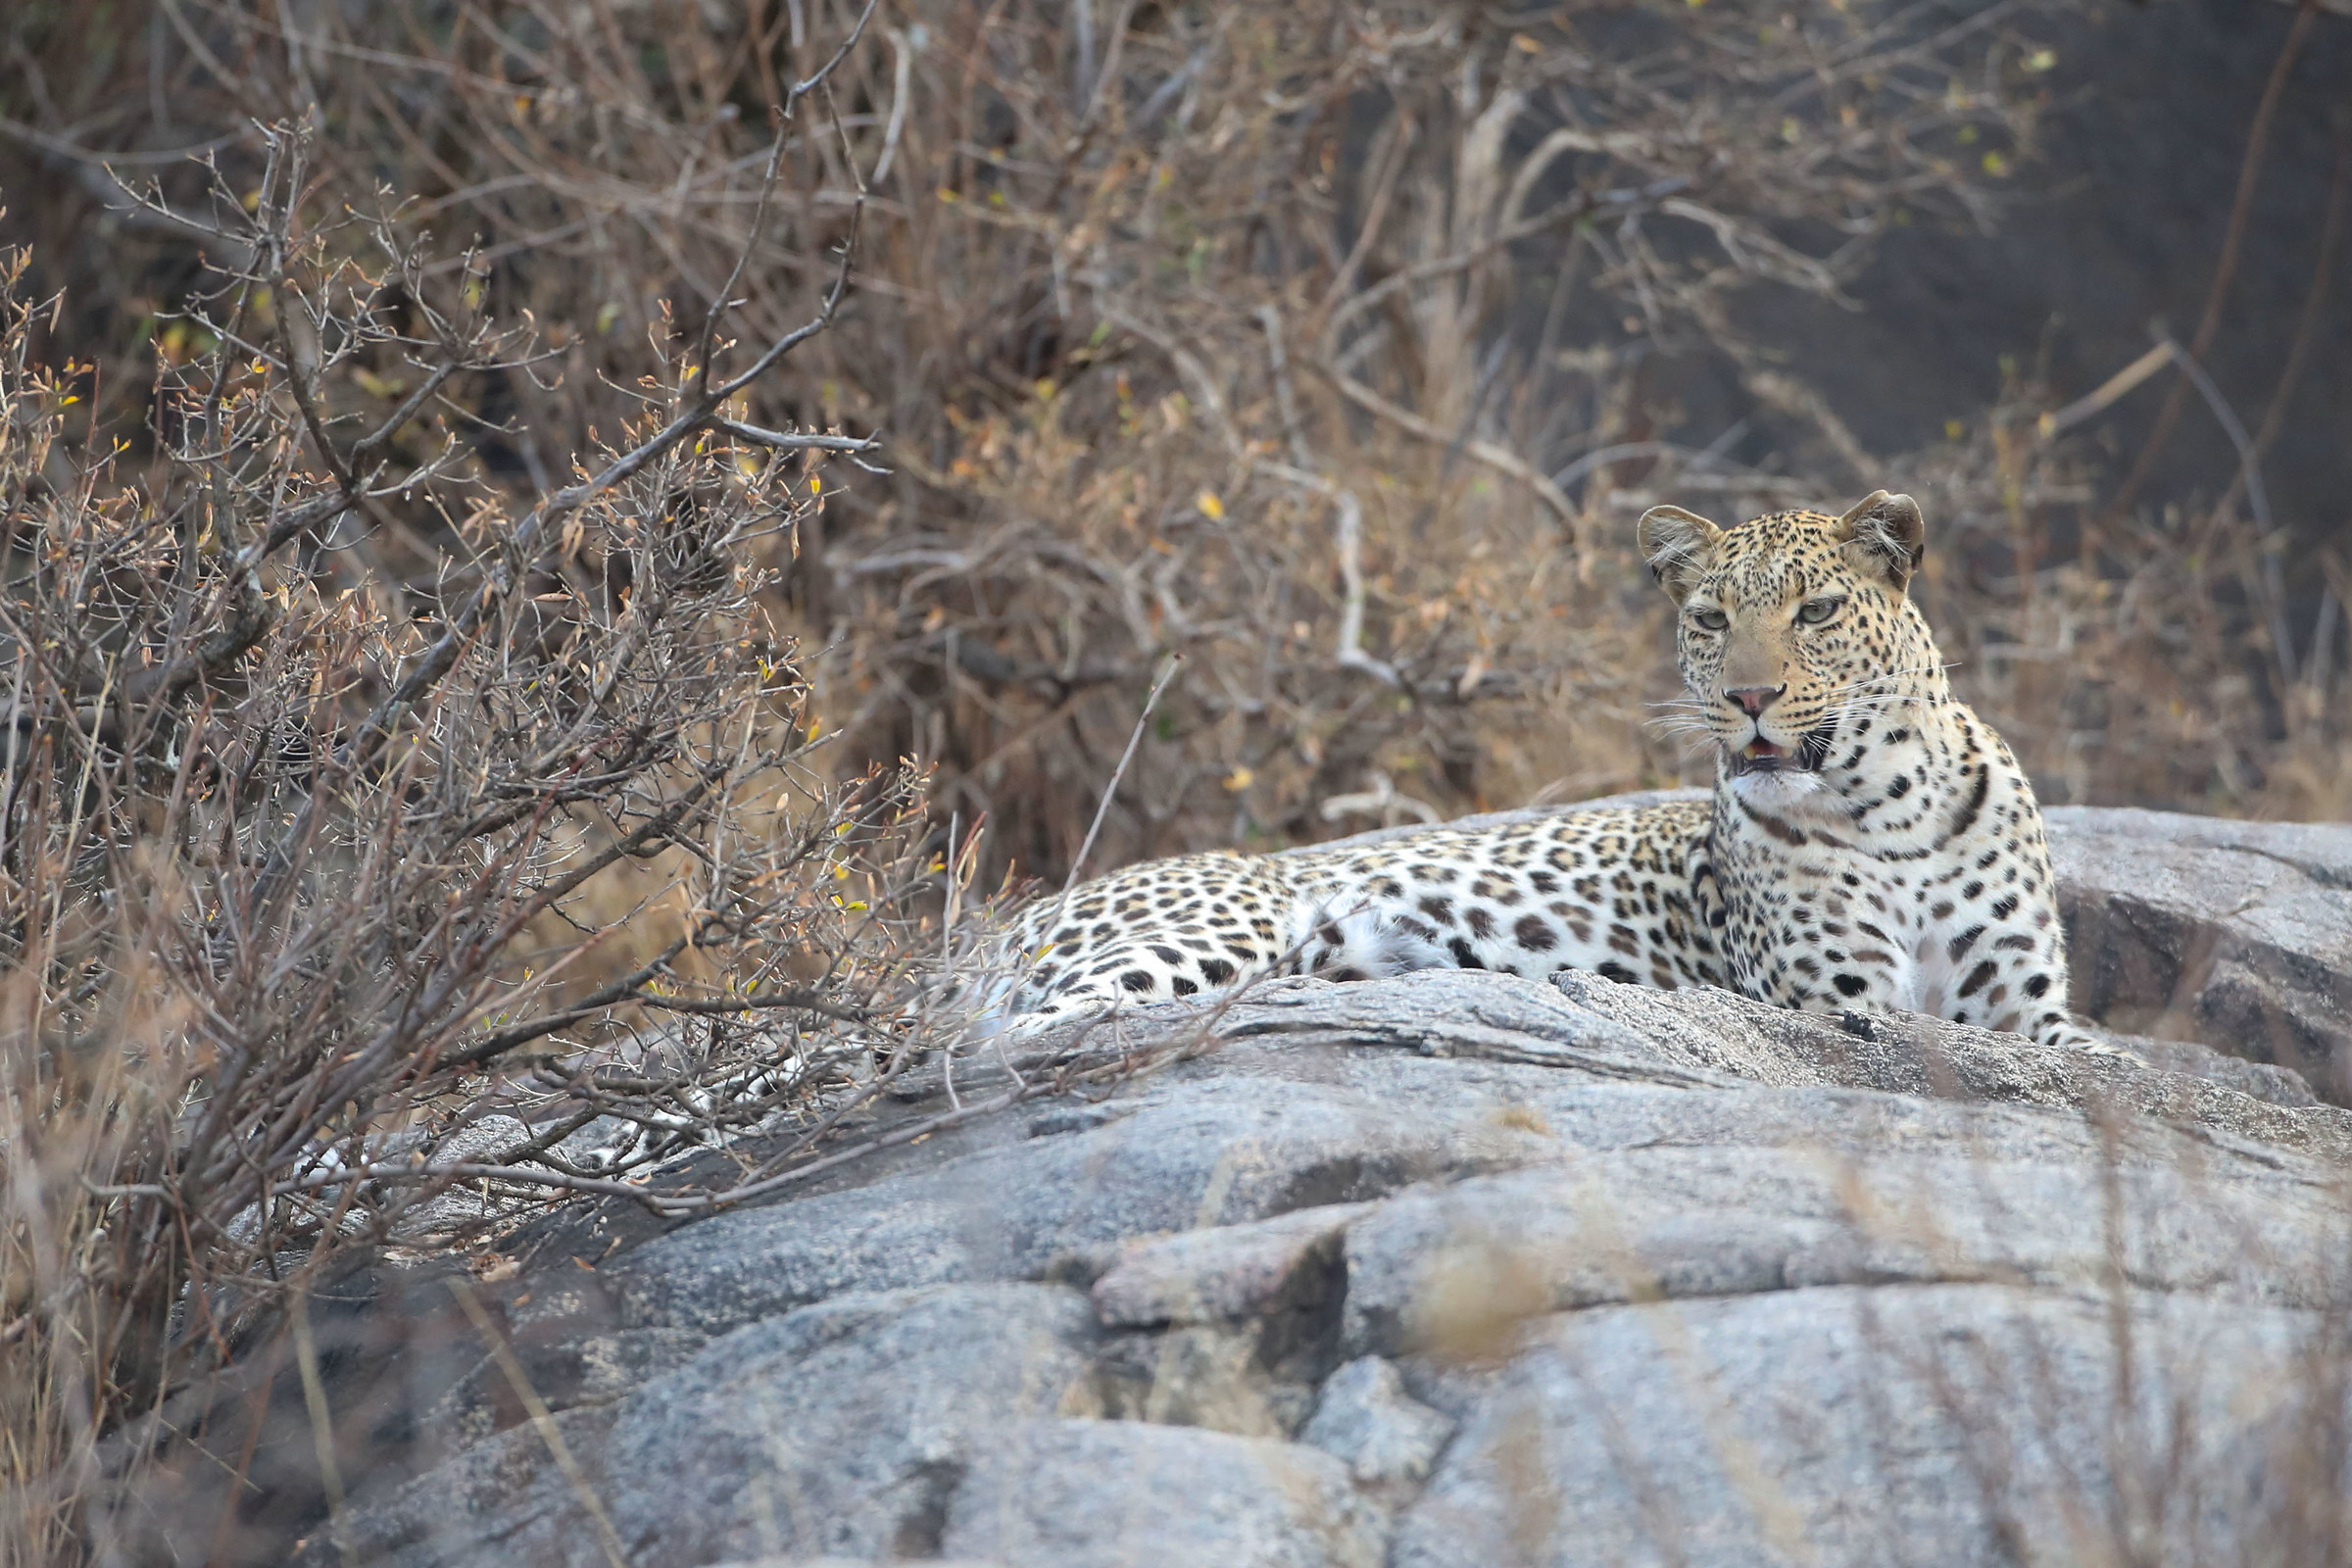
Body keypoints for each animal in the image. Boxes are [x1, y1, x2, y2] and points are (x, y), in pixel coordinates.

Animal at [982, 490, 2110, 1055]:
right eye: (1711, 620)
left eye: (1819, 611)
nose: (1747, 698)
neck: (1891, 812)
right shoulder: (1833, 996)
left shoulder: (2022, 1011)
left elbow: (2085, 1054)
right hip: (1207, 929)